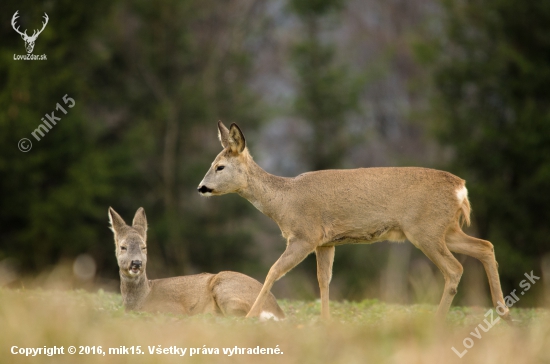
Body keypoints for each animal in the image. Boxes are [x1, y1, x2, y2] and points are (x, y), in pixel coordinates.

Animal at [109, 206, 286, 320]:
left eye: (144, 246)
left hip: (227, 289)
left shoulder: (172, 309)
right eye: (123, 246)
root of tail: (278, 311)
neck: (142, 299)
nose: (136, 263)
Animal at [198, 122, 512, 322]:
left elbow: (273, 271)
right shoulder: (325, 243)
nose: (201, 188)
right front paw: (326, 322)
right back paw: (504, 314)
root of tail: (461, 188)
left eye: (220, 166)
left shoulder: (305, 235)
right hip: (446, 229)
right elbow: (324, 280)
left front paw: (250, 316)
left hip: (426, 230)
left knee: (455, 268)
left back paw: (438, 321)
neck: (284, 201)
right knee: (485, 246)